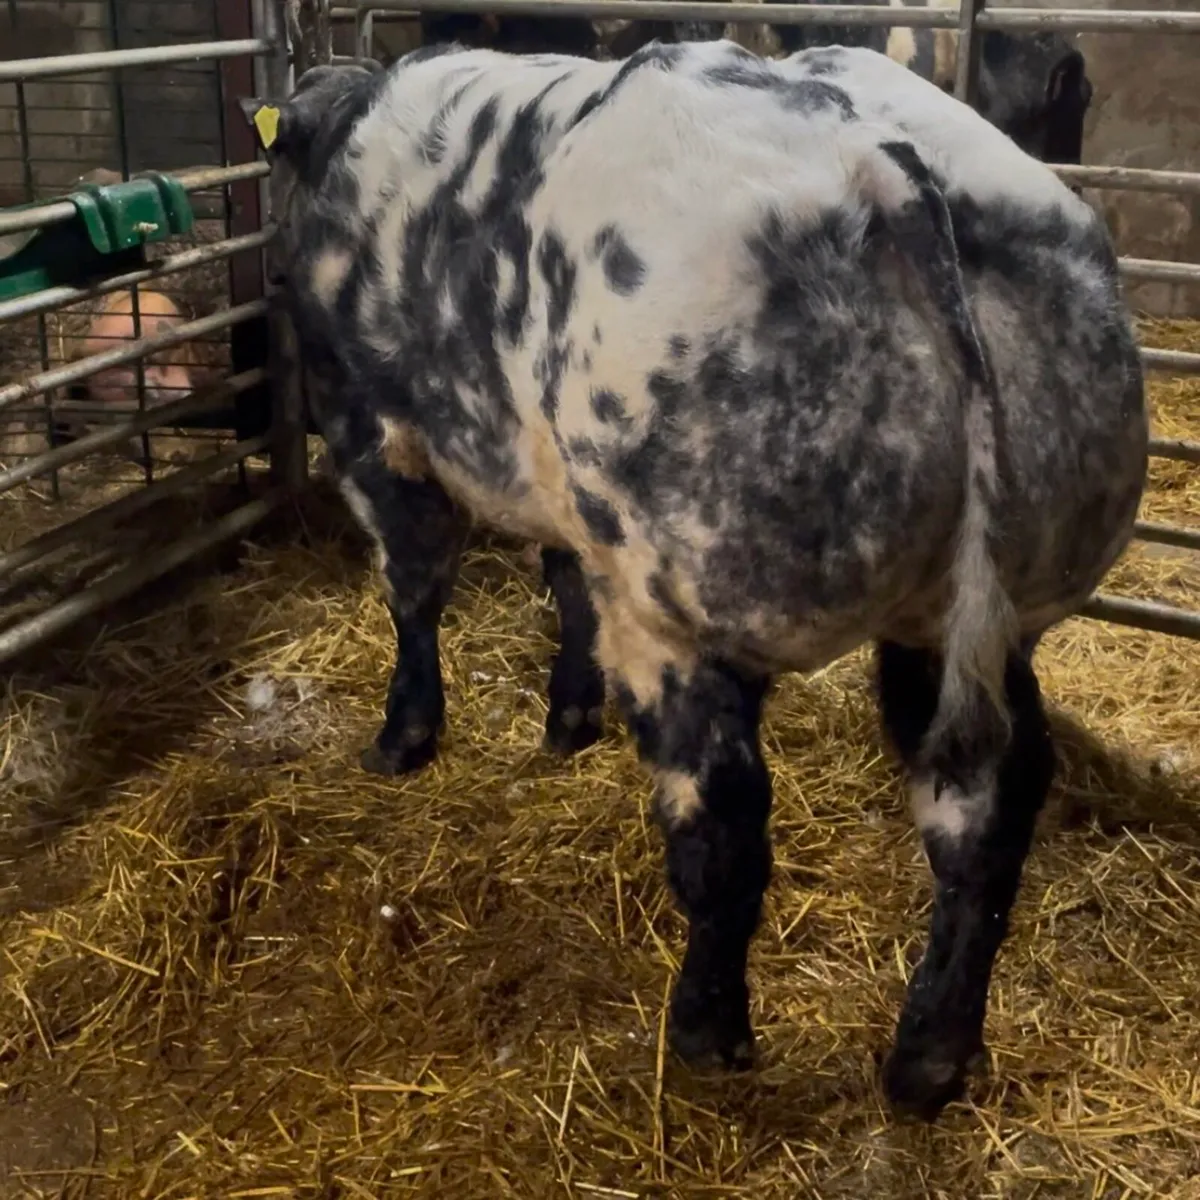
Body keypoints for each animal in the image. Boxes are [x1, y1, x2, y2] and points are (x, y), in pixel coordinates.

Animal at [240, 39, 1146, 1121]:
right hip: (979, 614)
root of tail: (886, 165)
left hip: (680, 611)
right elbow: (561, 582)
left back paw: (708, 1031)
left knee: (724, 824)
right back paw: (928, 1058)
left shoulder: (372, 433)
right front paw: (567, 718)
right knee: (986, 804)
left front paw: (404, 738)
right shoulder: (562, 500)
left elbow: (415, 587)